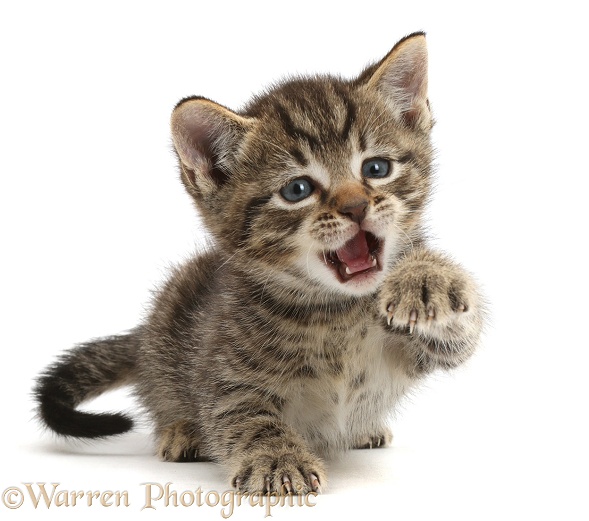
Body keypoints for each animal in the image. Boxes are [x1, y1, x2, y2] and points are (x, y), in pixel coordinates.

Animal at [35, 33, 486, 496]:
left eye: (376, 168)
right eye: (297, 189)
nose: (357, 207)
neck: (336, 310)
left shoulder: (423, 348)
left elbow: (461, 335)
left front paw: (427, 278)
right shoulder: (223, 372)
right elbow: (242, 415)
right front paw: (277, 458)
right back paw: (181, 430)